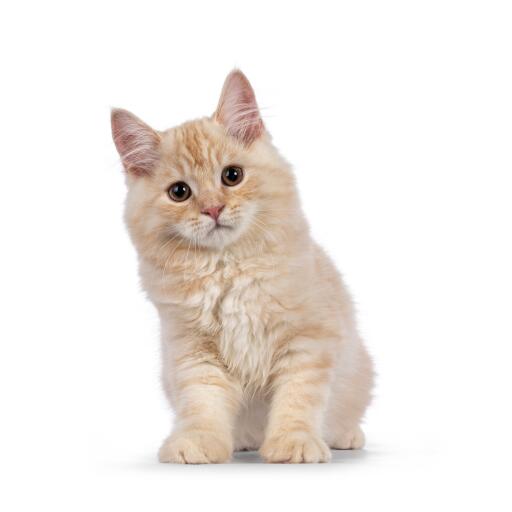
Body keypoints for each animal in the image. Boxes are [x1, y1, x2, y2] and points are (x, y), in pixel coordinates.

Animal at [111, 69, 372, 464]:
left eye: (232, 176)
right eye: (179, 192)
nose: (213, 209)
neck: (227, 268)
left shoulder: (308, 342)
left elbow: (298, 399)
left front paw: (293, 443)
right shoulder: (193, 352)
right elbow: (202, 405)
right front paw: (198, 443)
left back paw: (345, 436)